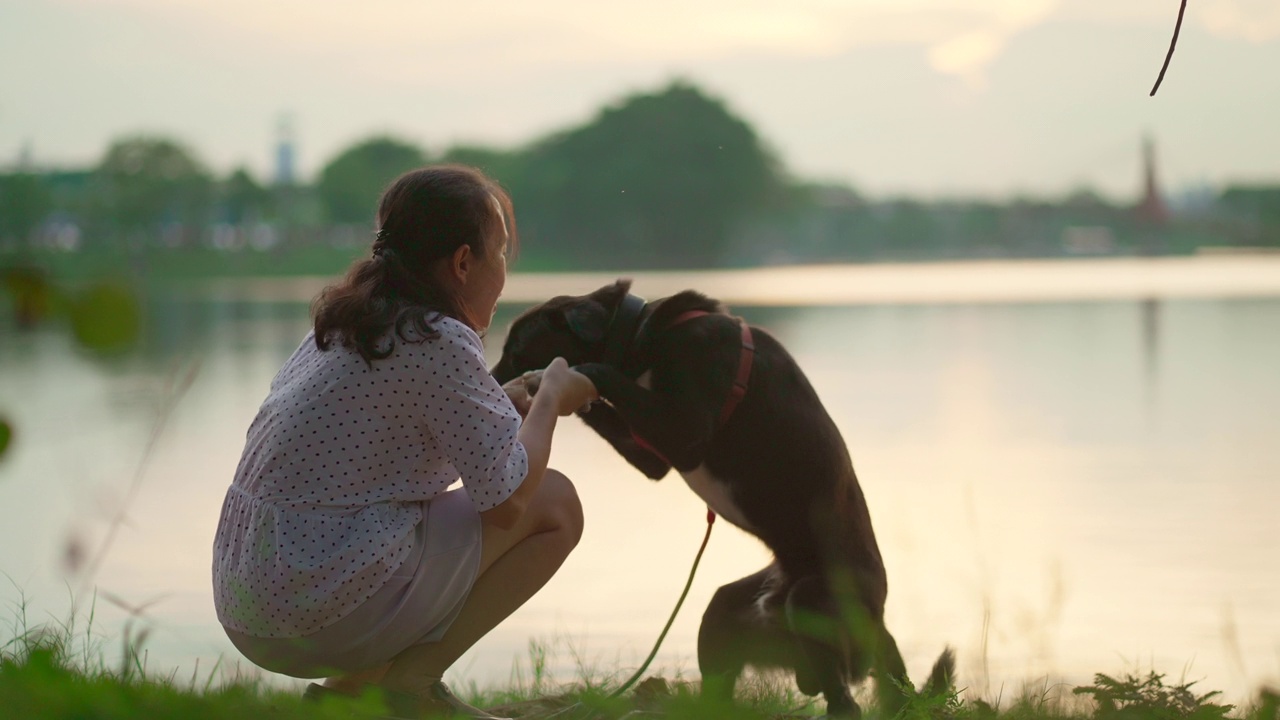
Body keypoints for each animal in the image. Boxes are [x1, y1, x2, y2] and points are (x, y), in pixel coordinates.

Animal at [488, 278, 952, 712]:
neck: (643, 335)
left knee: (845, 700)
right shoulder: (655, 454)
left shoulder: (684, 433)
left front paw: (565, 377)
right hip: (726, 614)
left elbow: (603, 372)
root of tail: (880, 622)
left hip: (813, 601)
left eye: (517, 349)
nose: (489, 381)